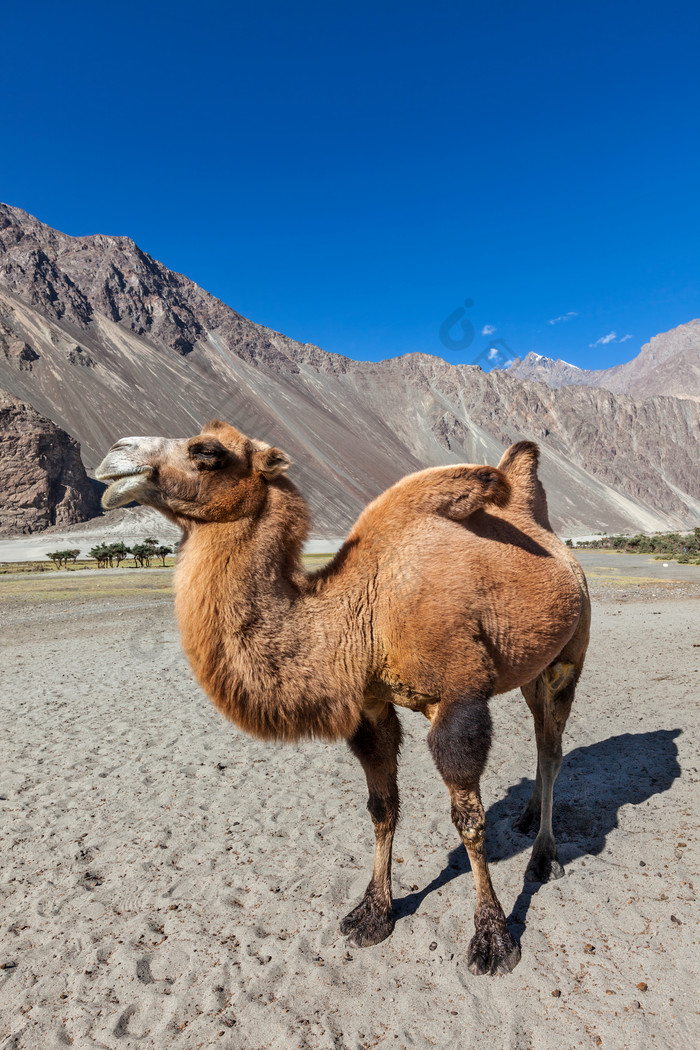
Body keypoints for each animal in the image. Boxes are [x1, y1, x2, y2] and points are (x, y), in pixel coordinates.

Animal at [97, 419, 591, 974]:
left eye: (207, 451)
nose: (116, 453)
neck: (362, 612)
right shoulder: (370, 705)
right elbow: (382, 807)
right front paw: (372, 913)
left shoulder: (458, 700)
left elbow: (469, 821)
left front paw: (492, 937)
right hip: (531, 668)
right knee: (541, 736)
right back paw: (527, 818)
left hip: (569, 656)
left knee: (551, 748)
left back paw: (544, 856)